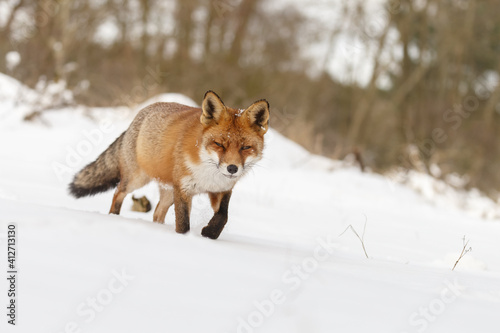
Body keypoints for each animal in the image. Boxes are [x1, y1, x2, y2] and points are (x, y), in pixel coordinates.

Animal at [69, 91, 270, 239]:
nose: (232, 168)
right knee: (118, 193)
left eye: (245, 147)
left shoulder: (222, 189)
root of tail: (138, 116)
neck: (209, 174)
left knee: (157, 213)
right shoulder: (183, 189)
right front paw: (184, 239)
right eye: (219, 144)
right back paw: (113, 218)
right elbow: (183, 224)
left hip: (168, 190)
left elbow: (223, 216)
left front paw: (210, 233)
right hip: (137, 180)